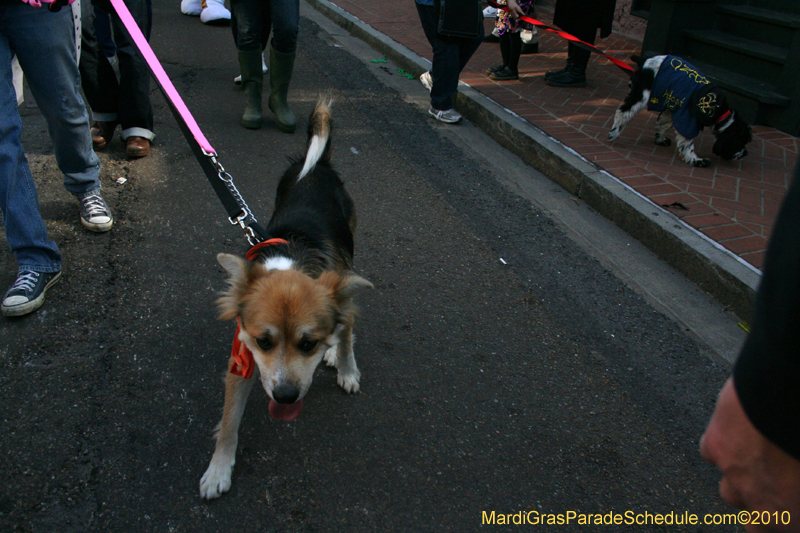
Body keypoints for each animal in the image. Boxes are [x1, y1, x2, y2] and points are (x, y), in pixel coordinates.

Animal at [200, 96, 376, 498]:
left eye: (308, 344)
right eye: (263, 342)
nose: (283, 397)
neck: (290, 264)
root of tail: (317, 166)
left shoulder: (343, 298)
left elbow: (347, 340)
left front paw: (347, 370)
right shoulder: (242, 356)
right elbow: (229, 419)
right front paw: (218, 468)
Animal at [608, 54, 752, 166]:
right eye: (741, 141)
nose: (745, 153)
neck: (720, 111)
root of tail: (645, 60)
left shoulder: (673, 108)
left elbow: (662, 123)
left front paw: (660, 139)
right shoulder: (687, 119)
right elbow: (687, 142)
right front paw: (695, 160)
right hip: (642, 96)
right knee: (623, 113)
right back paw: (614, 134)